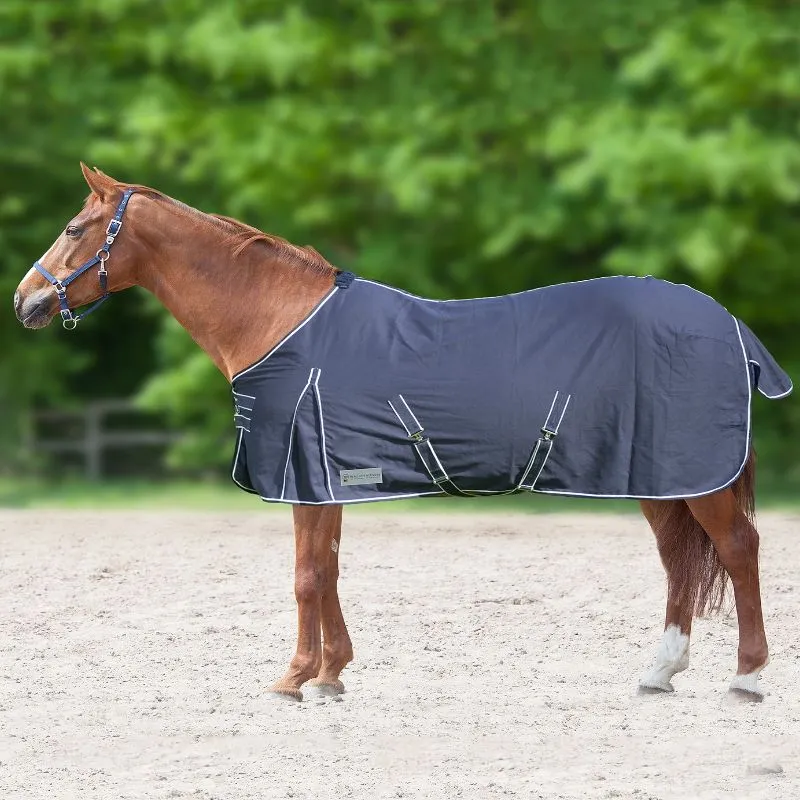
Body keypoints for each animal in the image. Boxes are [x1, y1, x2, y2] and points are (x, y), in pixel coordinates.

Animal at [14, 164, 793, 702]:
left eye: (77, 229)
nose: (24, 301)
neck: (279, 321)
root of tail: (727, 324)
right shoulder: (327, 482)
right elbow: (327, 570)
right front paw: (332, 675)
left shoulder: (306, 476)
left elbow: (305, 576)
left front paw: (294, 677)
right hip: (658, 474)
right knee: (679, 561)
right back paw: (661, 670)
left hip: (693, 476)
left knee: (738, 548)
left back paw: (749, 677)